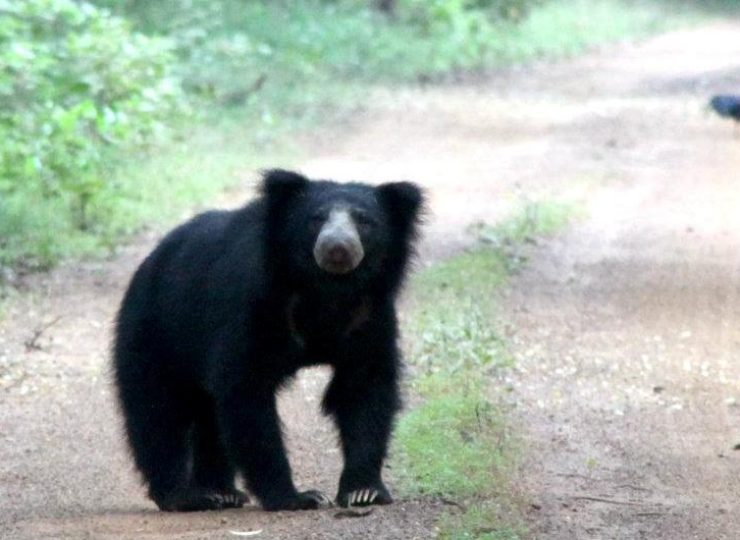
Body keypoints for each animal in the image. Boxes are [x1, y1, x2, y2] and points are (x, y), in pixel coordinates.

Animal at [110, 168, 422, 510]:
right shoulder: (256, 304)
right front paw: (297, 497)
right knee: (157, 412)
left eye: (364, 220)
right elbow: (247, 390)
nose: (337, 247)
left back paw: (222, 492)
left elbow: (364, 387)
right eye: (316, 219)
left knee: (207, 414)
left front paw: (363, 492)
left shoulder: (369, 314)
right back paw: (184, 496)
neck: (327, 288)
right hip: (156, 333)